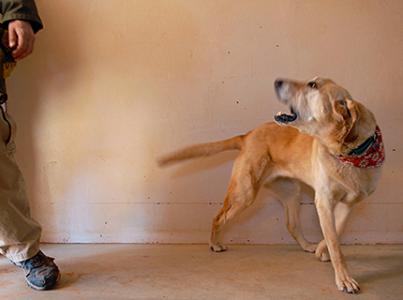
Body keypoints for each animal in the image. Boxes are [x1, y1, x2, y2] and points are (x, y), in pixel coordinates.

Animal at [158, 77, 386, 292]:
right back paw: (214, 243)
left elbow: (335, 234)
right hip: (244, 193)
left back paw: (307, 246)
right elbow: (335, 243)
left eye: (313, 85)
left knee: (291, 224)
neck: (349, 153)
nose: (277, 81)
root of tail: (247, 135)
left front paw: (322, 251)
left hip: (291, 192)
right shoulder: (324, 201)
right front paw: (344, 279)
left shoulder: (348, 204)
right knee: (218, 217)